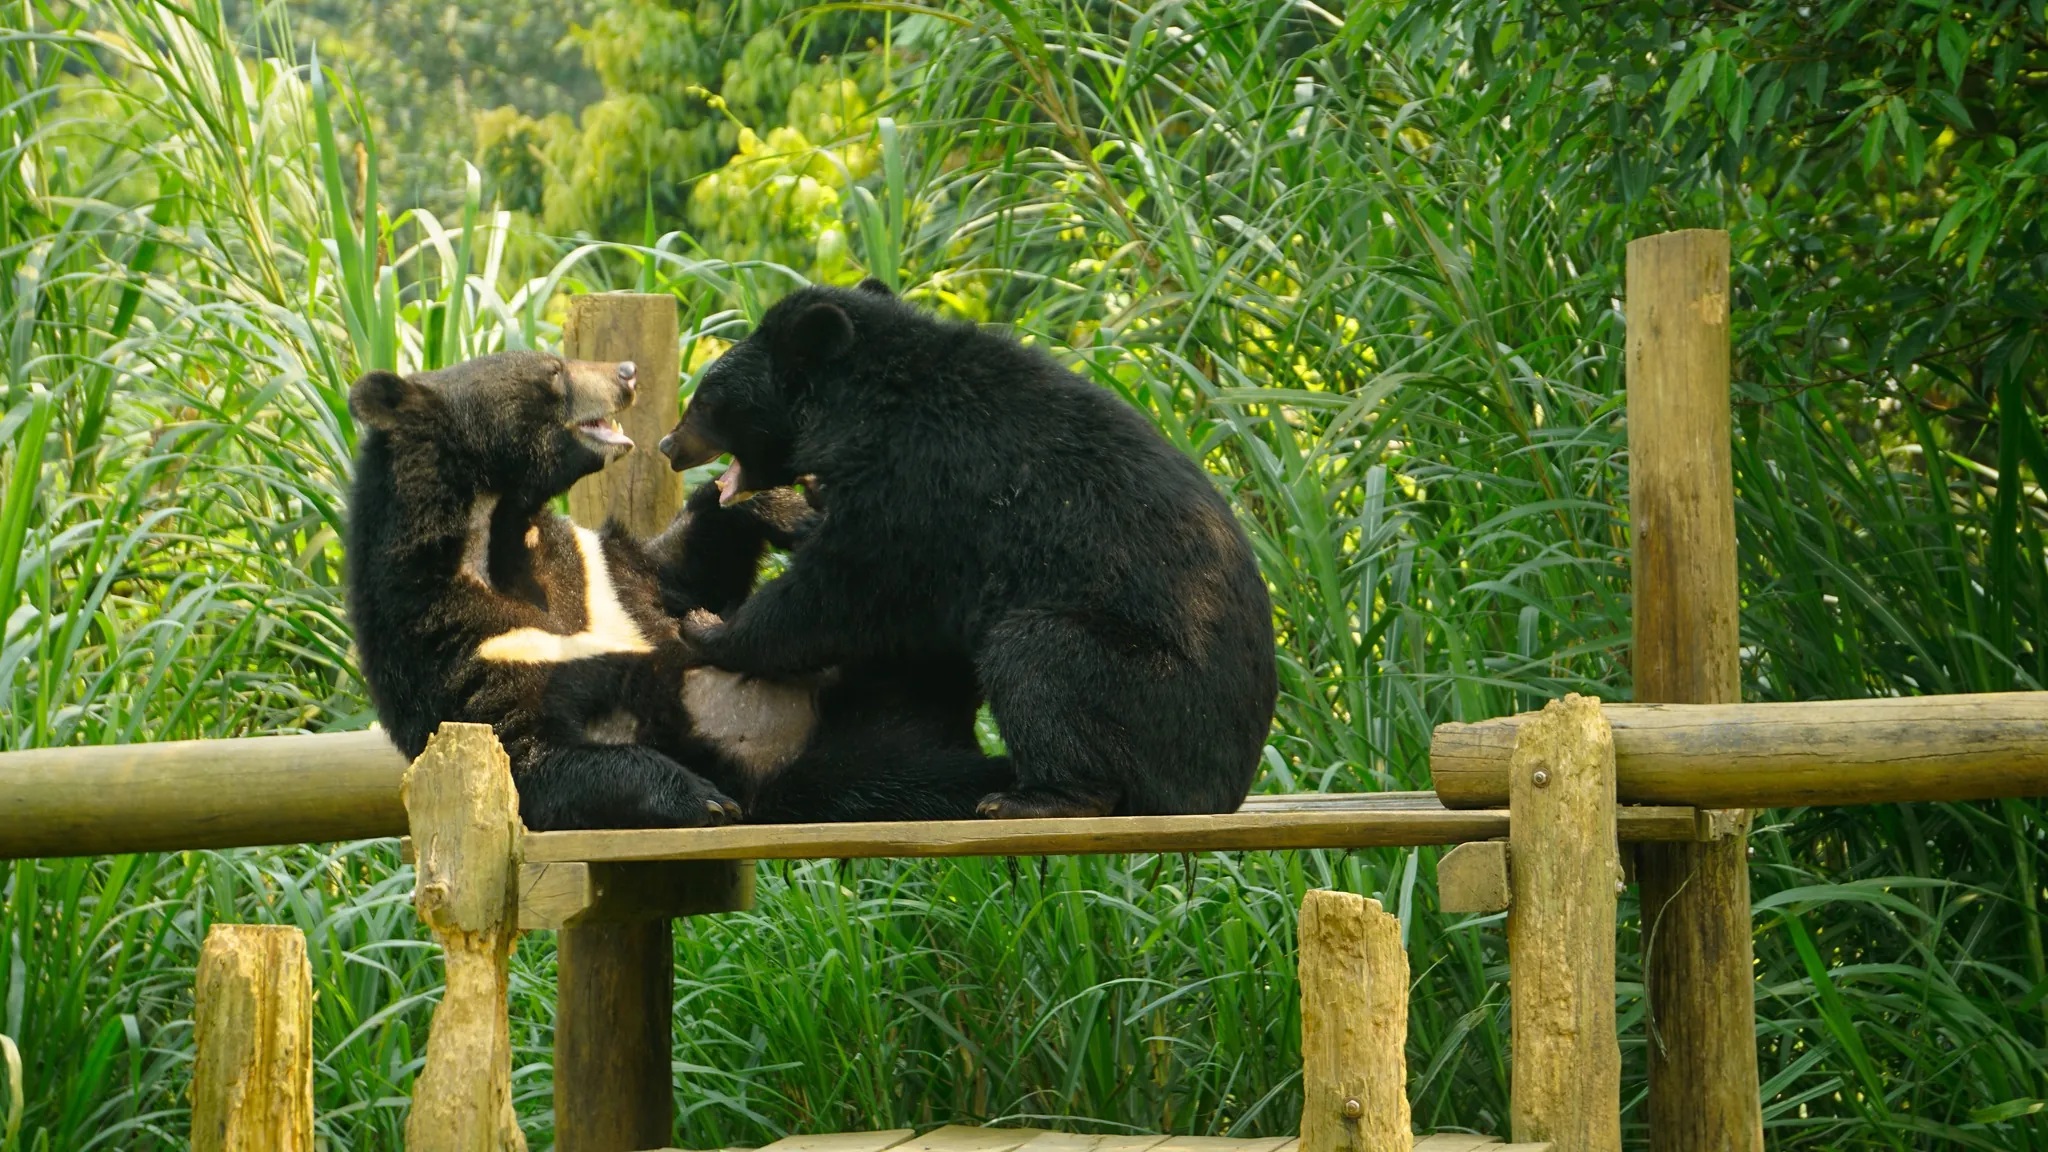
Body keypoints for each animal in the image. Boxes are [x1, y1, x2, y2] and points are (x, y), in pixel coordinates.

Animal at [345, 349, 1006, 831]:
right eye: (553, 370)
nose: (626, 373)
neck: (502, 537)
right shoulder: (465, 653)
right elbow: (532, 762)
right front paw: (702, 797)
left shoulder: (595, 570)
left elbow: (680, 573)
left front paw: (790, 510)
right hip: (842, 766)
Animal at [659, 280, 1278, 819]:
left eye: (707, 401)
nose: (667, 445)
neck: (864, 403)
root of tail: (1225, 788)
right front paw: (782, 512)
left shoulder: (917, 488)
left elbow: (844, 590)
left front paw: (710, 626)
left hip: (1151, 694)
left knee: (1036, 655)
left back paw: (1036, 798)